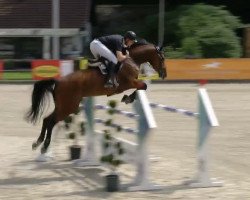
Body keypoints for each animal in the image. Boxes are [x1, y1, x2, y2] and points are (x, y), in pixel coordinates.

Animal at [25, 43, 167, 154]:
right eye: (162, 58)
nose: (164, 74)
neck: (131, 59)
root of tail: (58, 82)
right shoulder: (130, 82)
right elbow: (143, 86)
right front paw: (128, 98)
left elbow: (142, 87)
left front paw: (127, 98)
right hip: (68, 107)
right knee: (51, 121)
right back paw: (44, 146)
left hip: (64, 106)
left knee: (46, 119)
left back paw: (37, 143)